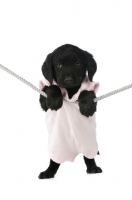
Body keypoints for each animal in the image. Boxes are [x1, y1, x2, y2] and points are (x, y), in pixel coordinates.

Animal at [38, 43, 102, 178]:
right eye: (59, 65)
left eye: (77, 63)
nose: (68, 80)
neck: (70, 90)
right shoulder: (43, 102)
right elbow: (52, 86)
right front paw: (54, 99)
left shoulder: (93, 96)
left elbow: (87, 92)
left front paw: (86, 105)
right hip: (57, 149)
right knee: (54, 161)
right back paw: (48, 172)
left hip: (89, 145)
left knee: (89, 158)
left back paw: (93, 168)